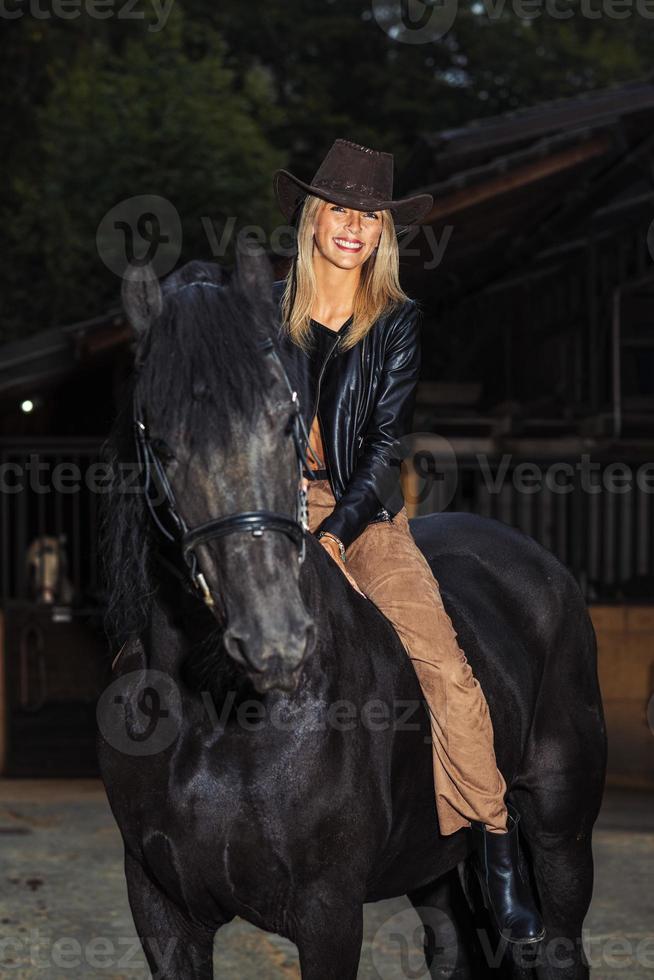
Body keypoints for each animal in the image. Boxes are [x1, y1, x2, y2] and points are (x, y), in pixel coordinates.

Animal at [97, 255, 608, 980]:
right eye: (162, 443)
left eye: (285, 420)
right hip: (433, 866)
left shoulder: (328, 912)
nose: (274, 638)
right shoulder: (161, 909)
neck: (214, 712)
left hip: (561, 836)